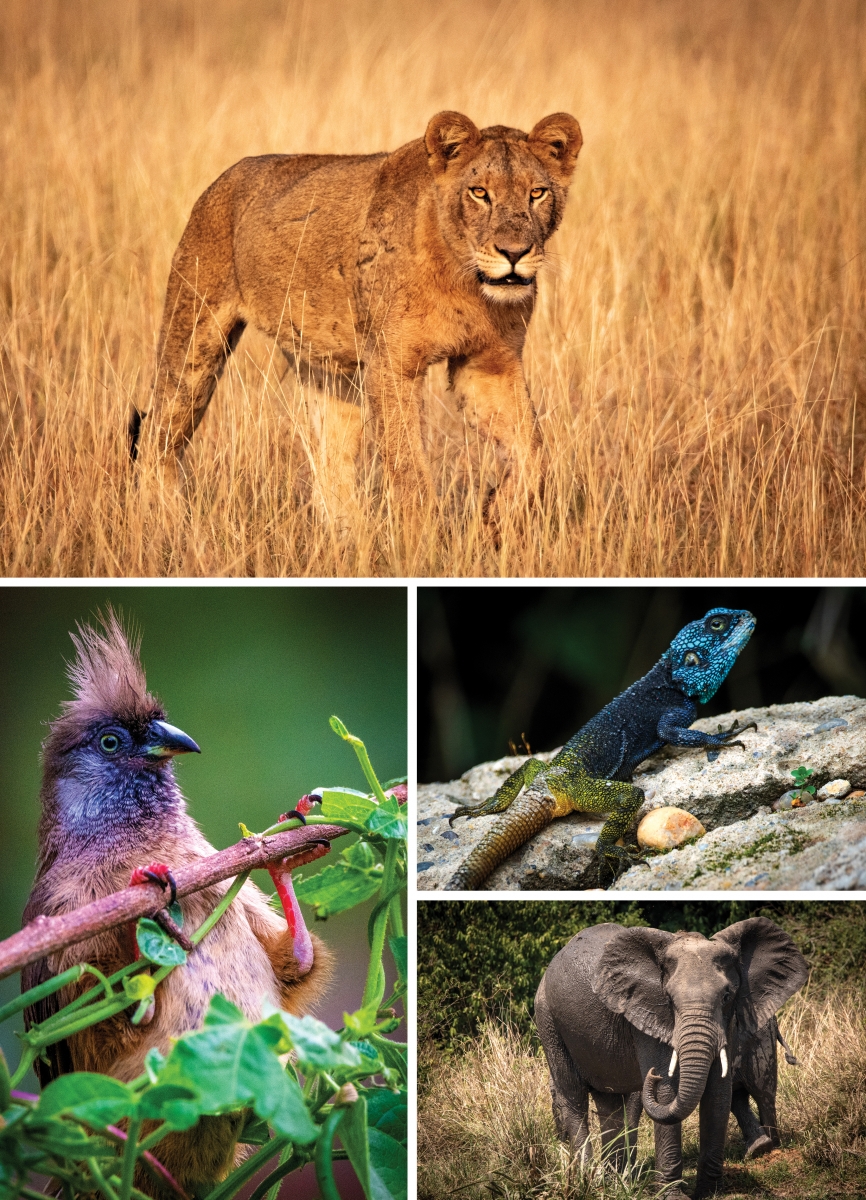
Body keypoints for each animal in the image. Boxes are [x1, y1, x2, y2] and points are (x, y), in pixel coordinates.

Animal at [137, 110, 582, 521]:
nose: (514, 253)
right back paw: (166, 524)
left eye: (537, 193)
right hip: (193, 343)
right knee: (156, 438)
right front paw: (423, 545)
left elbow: (535, 455)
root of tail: (221, 180)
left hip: (328, 371)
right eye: (479, 192)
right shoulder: (391, 365)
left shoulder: (489, 364)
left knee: (330, 469)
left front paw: (497, 513)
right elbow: (409, 473)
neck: (466, 284)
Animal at [534, 918, 807, 1199]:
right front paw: (672, 1195)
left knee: (609, 1103)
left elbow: (719, 1091)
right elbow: (665, 1091)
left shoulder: (730, 1020)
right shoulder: (645, 1012)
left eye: (726, 996)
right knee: (574, 1096)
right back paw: (588, 1182)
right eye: (669, 999)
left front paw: (710, 1192)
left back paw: (613, 1185)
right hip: (547, 1019)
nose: (651, 1075)